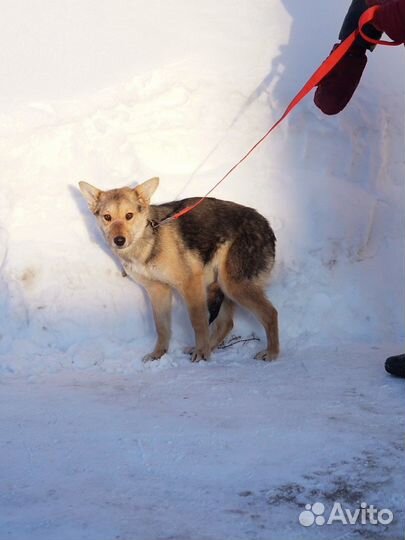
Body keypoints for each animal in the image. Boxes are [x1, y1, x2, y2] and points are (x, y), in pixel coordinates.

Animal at [80, 178, 280, 362]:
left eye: (129, 215)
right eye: (107, 217)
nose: (119, 240)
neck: (147, 243)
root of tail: (267, 225)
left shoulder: (190, 283)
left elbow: (198, 322)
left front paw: (202, 353)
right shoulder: (158, 290)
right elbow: (161, 327)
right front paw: (158, 354)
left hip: (232, 285)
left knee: (271, 313)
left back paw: (271, 353)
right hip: (218, 286)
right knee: (226, 324)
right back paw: (206, 348)